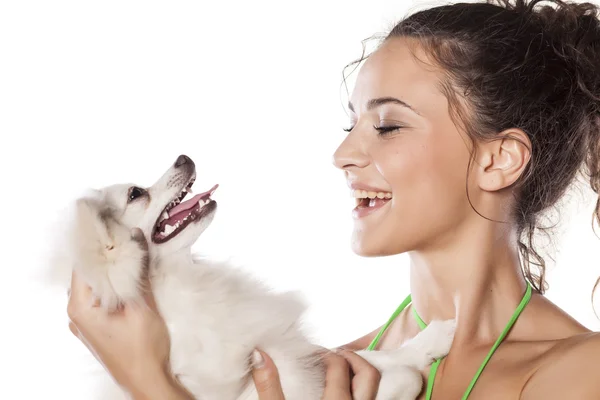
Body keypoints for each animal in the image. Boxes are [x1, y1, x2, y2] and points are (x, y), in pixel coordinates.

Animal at [51, 155, 454, 398]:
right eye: (137, 193)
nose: (183, 157)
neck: (178, 281)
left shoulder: (286, 348)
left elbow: (370, 358)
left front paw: (435, 338)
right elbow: (397, 376)